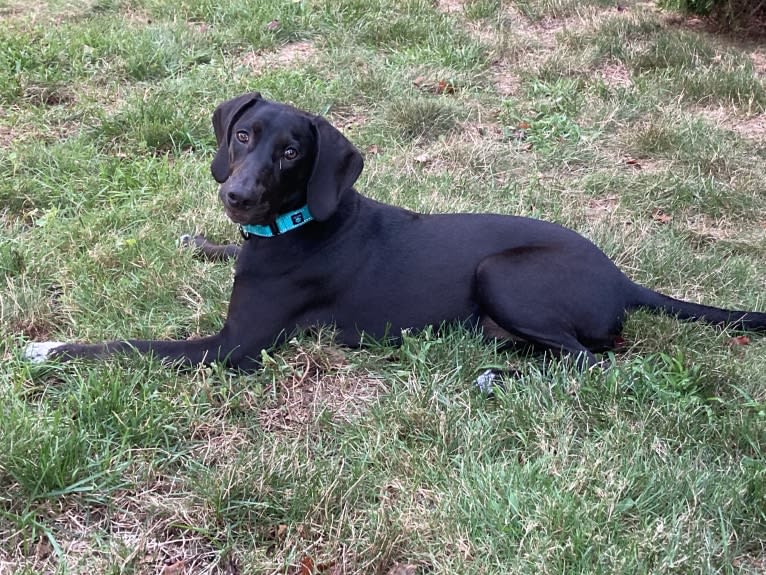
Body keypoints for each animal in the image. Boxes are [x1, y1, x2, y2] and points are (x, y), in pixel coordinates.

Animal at [24, 90, 766, 368]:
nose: (236, 196)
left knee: (591, 359)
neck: (295, 224)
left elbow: (125, 345)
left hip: (501, 273)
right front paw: (202, 242)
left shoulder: (233, 347)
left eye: (291, 153)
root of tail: (624, 277)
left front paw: (49, 349)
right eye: (241, 136)